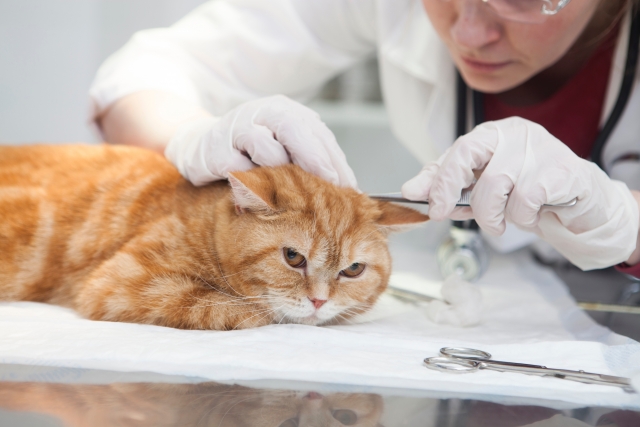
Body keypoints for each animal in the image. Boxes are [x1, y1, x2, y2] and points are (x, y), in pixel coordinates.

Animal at [1, 145, 430, 330]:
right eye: (293, 257)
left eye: (353, 270)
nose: (319, 301)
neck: (204, 226)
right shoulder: (122, 283)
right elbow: (227, 307)